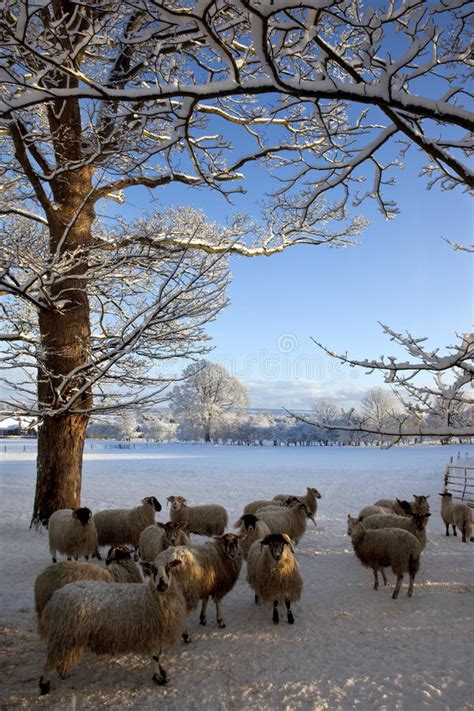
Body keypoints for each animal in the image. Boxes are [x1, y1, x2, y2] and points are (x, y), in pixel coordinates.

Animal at [37, 556, 185, 696]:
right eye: (153, 569)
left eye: (168, 567)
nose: (162, 586)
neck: (150, 598)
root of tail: (55, 597)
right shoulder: (153, 634)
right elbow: (155, 657)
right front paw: (159, 678)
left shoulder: (157, 633)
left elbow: (158, 655)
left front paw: (161, 672)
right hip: (63, 634)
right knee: (50, 662)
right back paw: (44, 686)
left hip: (70, 636)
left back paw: (63, 673)